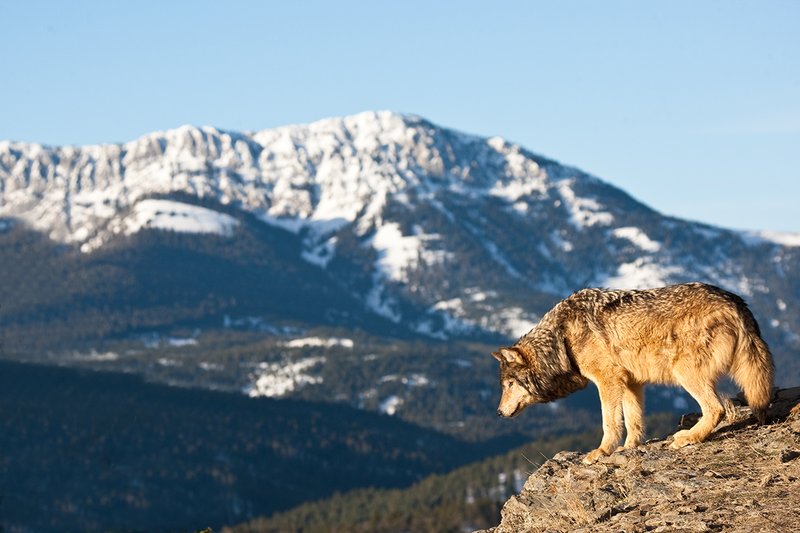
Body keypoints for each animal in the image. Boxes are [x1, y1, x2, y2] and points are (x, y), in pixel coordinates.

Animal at [492, 282, 774, 464]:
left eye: (508, 385)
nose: (498, 413)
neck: (561, 339)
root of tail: (735, 301)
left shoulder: (607, 381)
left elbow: (610, 423)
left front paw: (601, 452)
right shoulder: (630, 383)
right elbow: (633, 421)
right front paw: (629, 448)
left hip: (684, 373)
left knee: (716, 409)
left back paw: (688, 438)